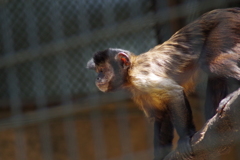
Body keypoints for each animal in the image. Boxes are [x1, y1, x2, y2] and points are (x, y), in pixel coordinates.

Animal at [87, 8, 240, 159]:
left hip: (225, 26)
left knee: (209, 63)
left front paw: (186, 136)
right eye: (98, 71)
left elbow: (174, 93)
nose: (97, 78)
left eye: (102, 70)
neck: (129, 74)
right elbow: (161, 115)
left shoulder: (140, 77)